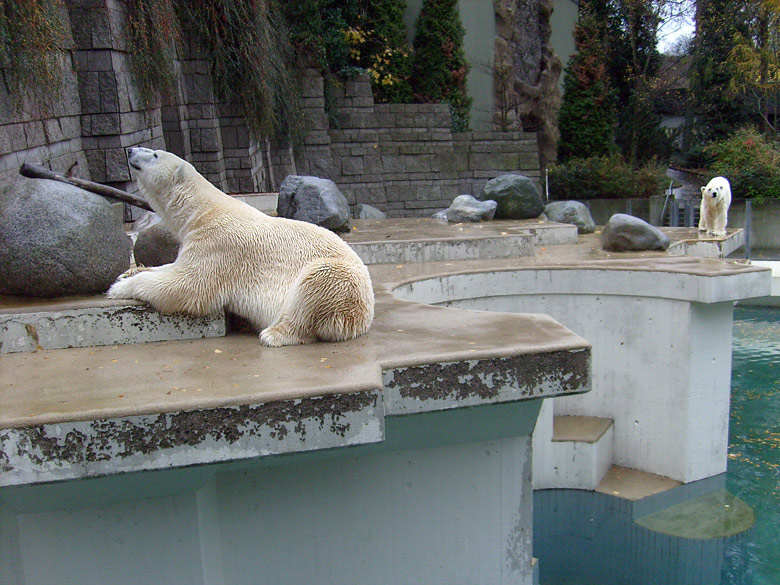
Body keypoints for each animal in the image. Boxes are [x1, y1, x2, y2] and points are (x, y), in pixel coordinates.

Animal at [107, 147, 374, 346]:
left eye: (154, 154)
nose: (130, 149)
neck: (203, 213)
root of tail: (365, 317)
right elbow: (171, 267)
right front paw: (130, 271)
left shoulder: (219, 246)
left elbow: (187, 286)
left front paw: (118, 288)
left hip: (341, 284)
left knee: (315, 284)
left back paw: (274, 334)